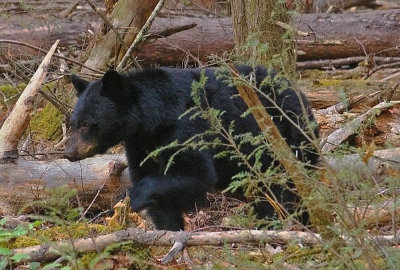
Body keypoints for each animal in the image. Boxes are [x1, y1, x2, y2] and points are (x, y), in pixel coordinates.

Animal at [64, 66, 318, 230]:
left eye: (87, 124)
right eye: (72, 122)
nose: (68, 153)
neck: (154, 120)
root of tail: (298, 92)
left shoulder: (185, 127)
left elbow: (195, 174)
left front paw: (128, 198)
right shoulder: (141, 143)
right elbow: (152, 182)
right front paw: (170, 230)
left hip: (286, 134)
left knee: (286, 182)